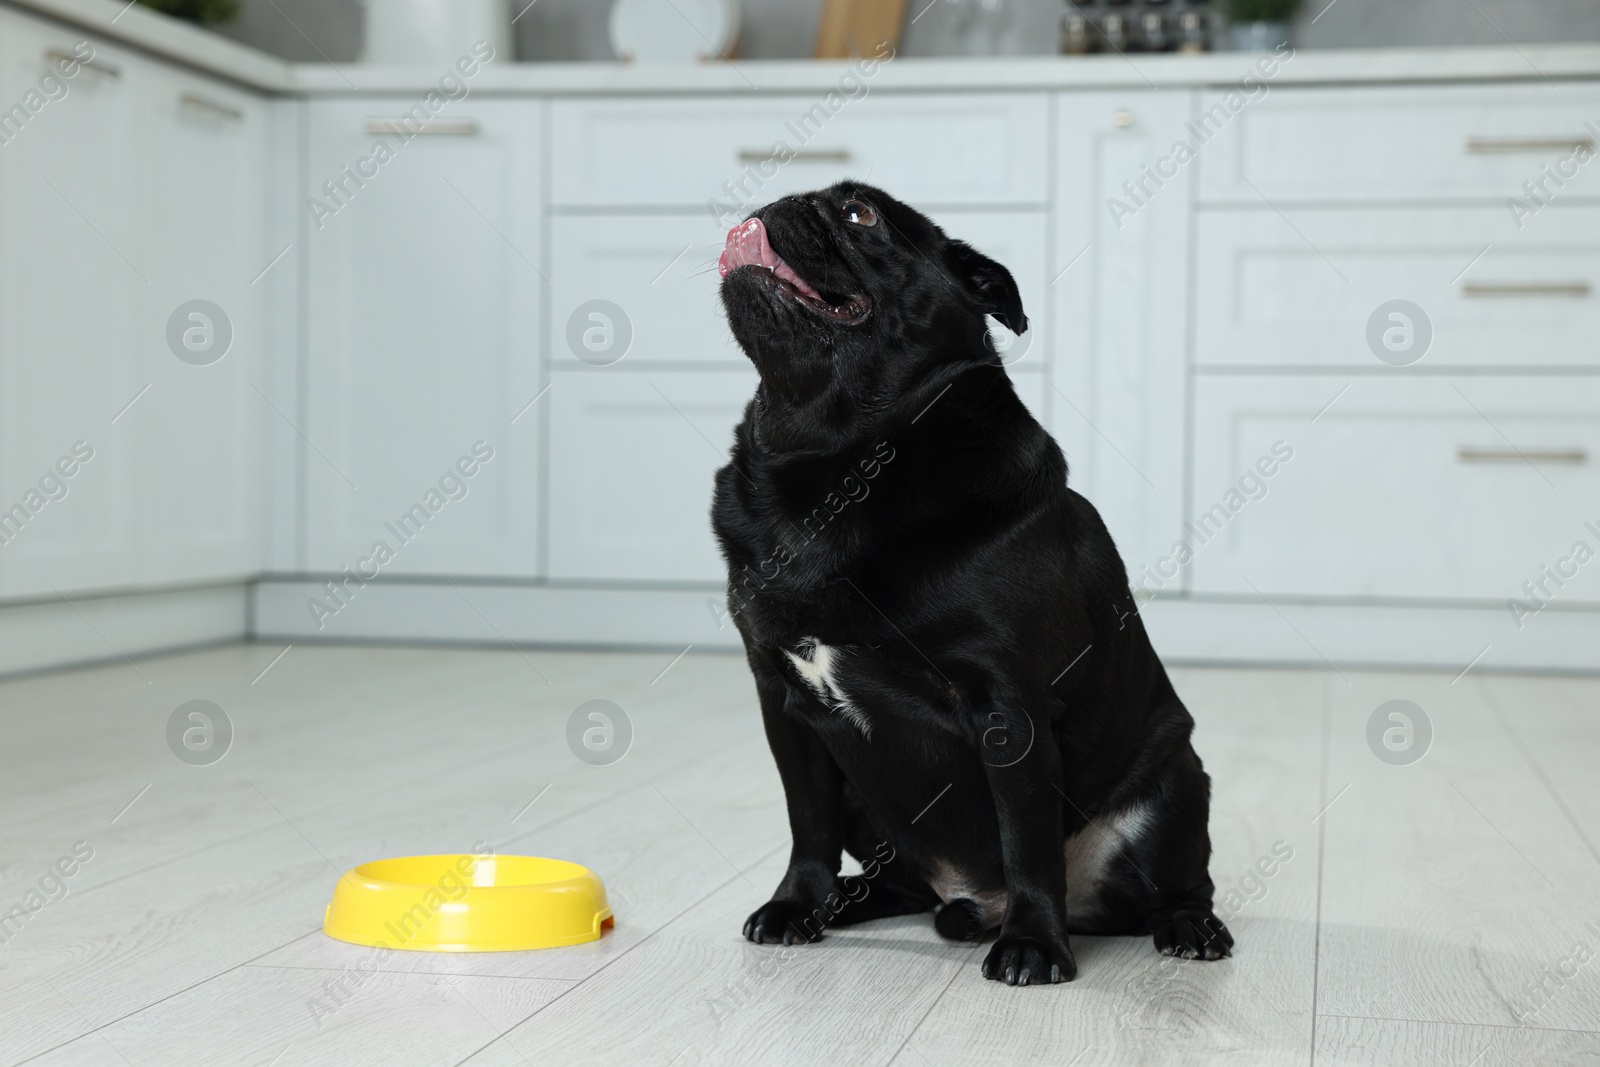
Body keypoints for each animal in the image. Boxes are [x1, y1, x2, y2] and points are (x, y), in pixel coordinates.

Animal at [707, 181, 1228, 985]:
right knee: (893, 879)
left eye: (860, 215)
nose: (781, 200)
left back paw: (1186, 927)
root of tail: (969, 902)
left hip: (1175, 784)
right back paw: (845, 903)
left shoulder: (1006, 707)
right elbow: (807, 822)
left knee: (1179, 882)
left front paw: (1035, 944)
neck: (830, 455)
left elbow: (1028, 840)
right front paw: (797, 904)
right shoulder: (785, 706)